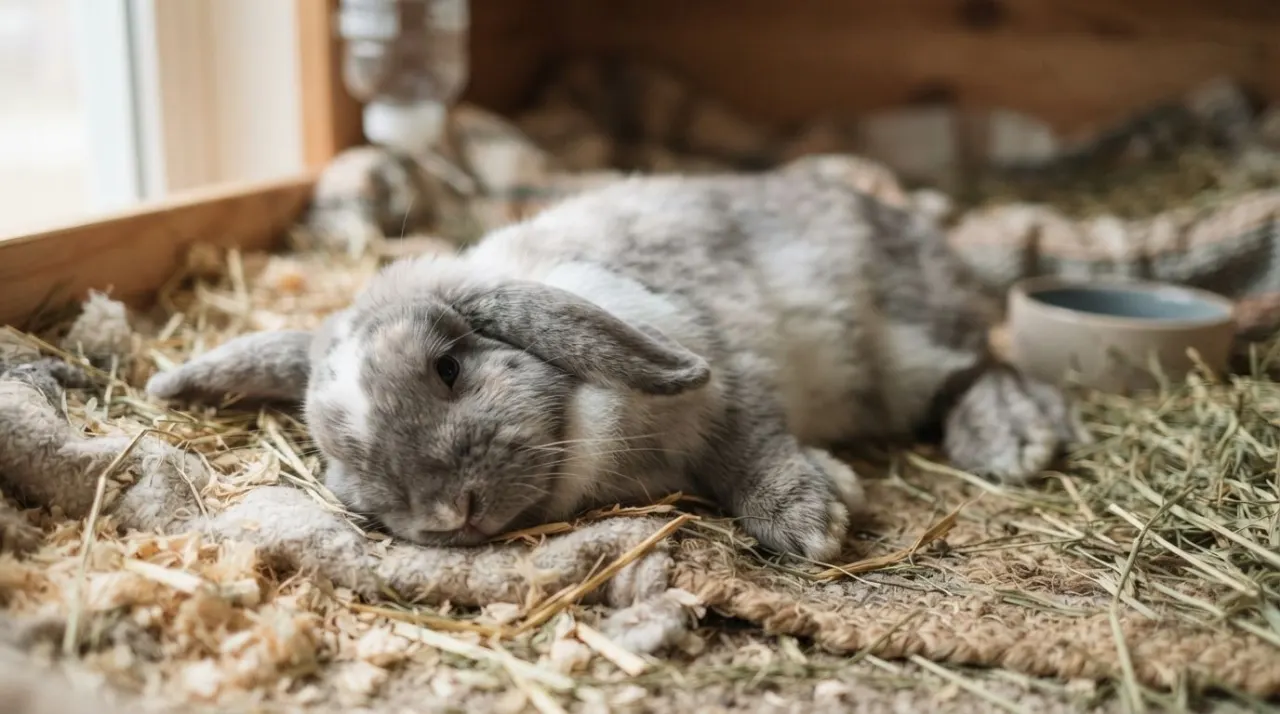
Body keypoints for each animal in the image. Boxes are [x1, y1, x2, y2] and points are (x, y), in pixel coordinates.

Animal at [147, 155, 1089, 562]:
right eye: (342, 459)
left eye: (449, 367)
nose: (451, 514)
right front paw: (834, 489)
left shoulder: (732, 377)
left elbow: (754, 452)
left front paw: (808, 521)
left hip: (903, 350)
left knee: (984, 365)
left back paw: (1010, 438)